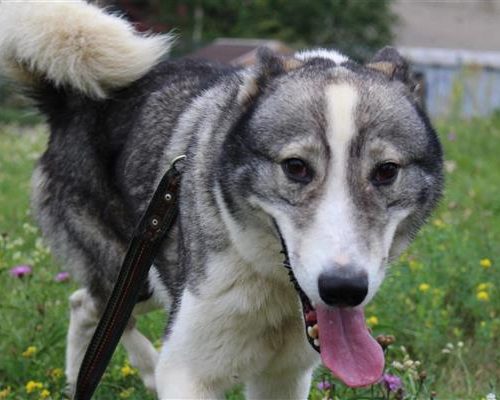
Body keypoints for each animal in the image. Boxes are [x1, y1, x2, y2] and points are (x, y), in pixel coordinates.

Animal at [0, 1, 443, 398]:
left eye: (386, 171)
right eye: (296, 167)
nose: (344, 289)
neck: (273, 285)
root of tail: (70, 103)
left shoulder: (285, 377)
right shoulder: (188, 372)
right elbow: (173, 366)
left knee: (86, 305)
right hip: (128, 269)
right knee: (101, 309)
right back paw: (139, 367)